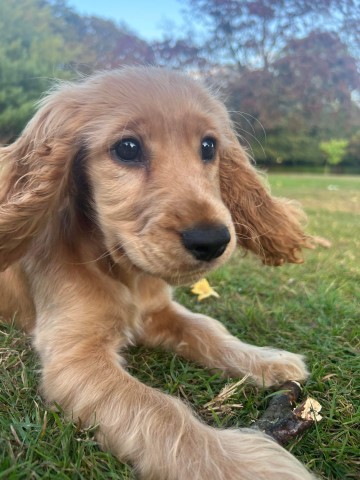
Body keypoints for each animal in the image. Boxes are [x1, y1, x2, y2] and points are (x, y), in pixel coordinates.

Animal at [0, 67, 316, 480]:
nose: (213, 241)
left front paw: (264, 359)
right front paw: (246, 465)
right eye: (127, 148)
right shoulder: (75, 356)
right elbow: (160, 411)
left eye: (209, 146)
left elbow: (208, 329)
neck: (121, 268)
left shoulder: (160, 311)